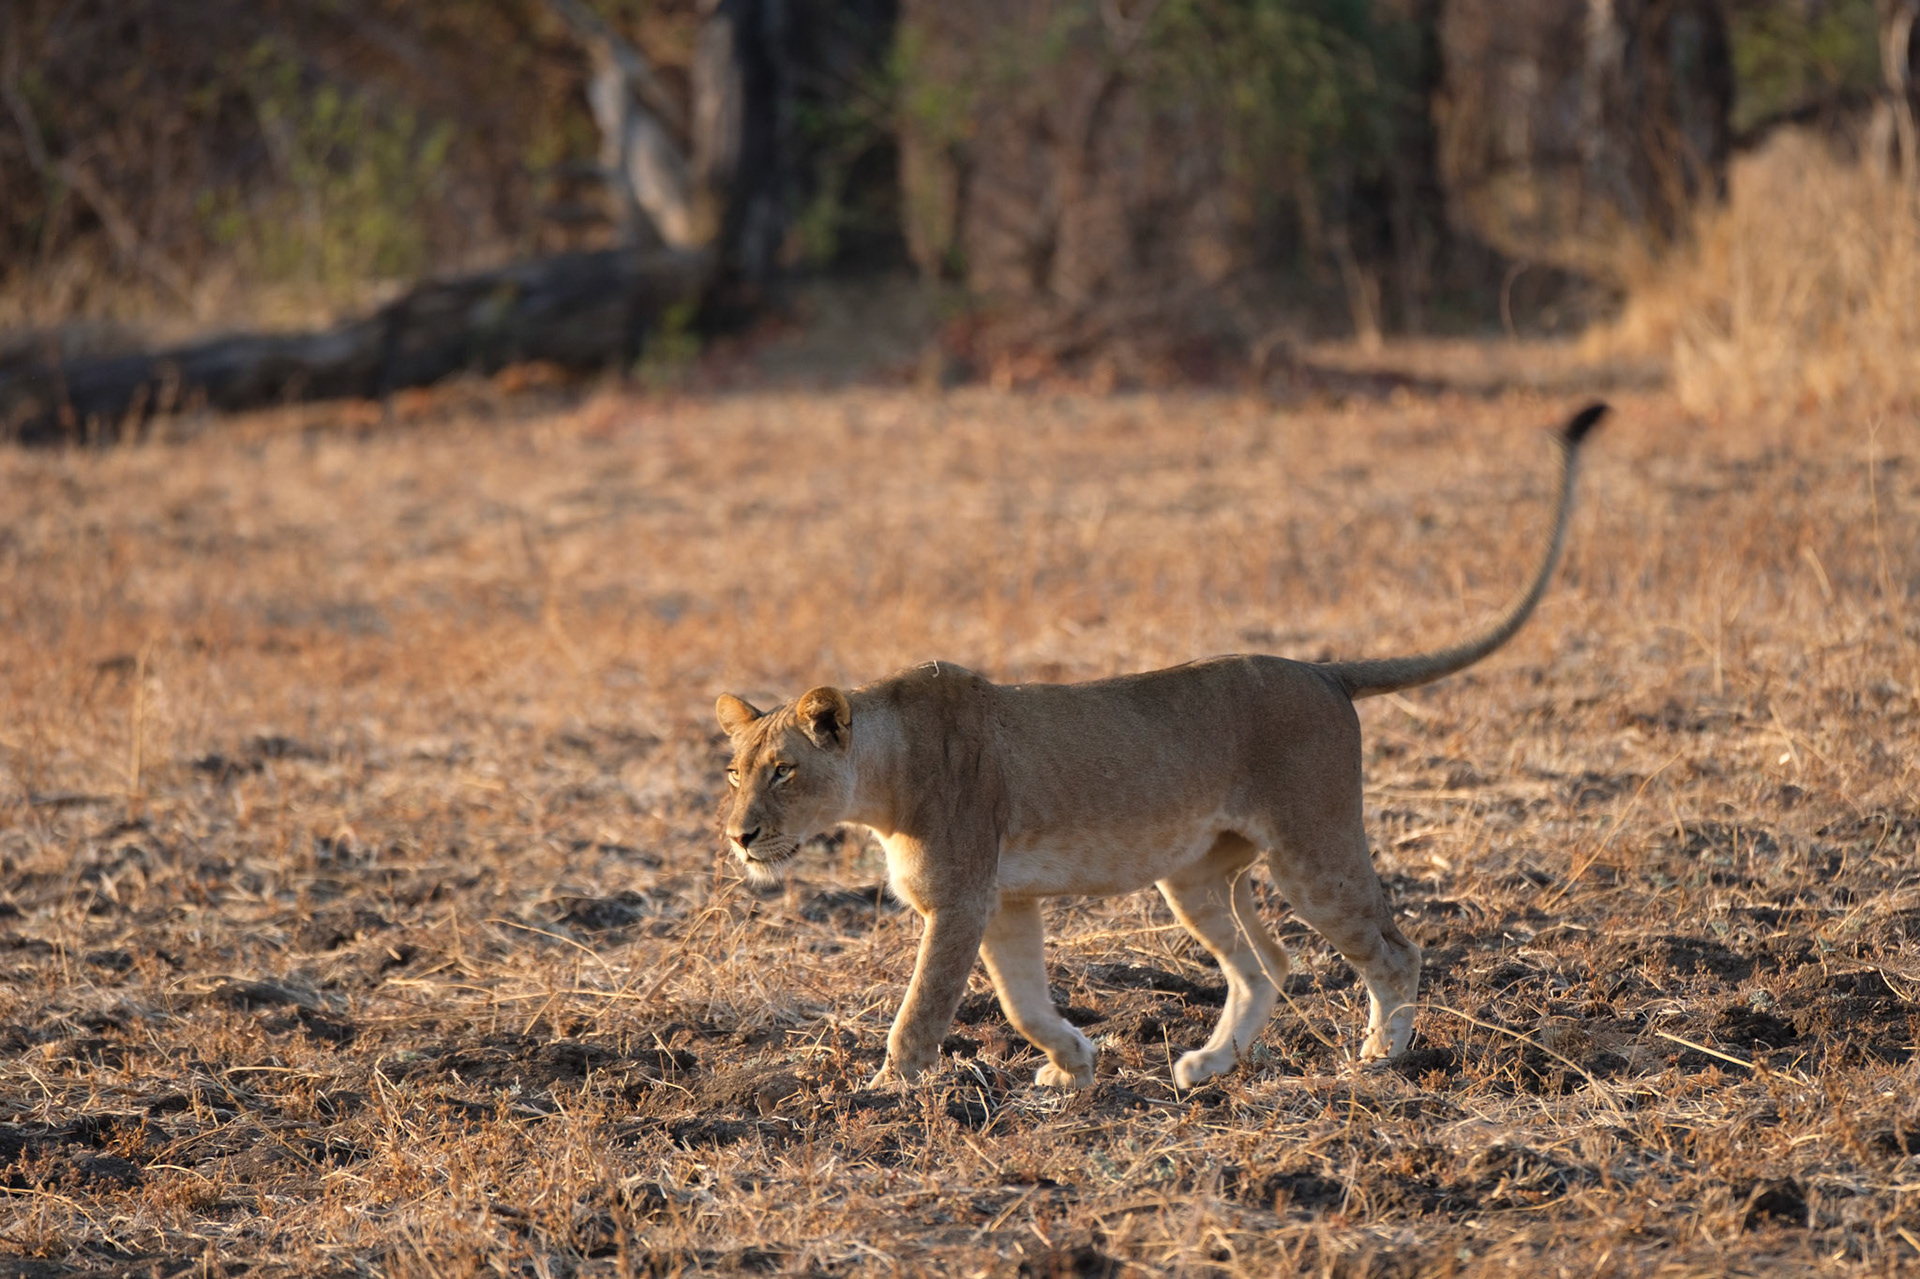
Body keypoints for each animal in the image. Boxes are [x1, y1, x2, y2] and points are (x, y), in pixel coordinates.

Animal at [715, 403, 1606, 1090]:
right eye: (733, 773)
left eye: (785, 770)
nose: (739, 835)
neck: (884, 777)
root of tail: (1322, 670)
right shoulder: (1005, 899)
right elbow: (1023, 1000)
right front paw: (1071, 1064)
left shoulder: (963, 895)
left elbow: (924, 1007)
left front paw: (886, 1088)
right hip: (1197, 873)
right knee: (1264, 966)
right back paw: (1206, 1067)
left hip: (1312, 849)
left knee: (1393, 950)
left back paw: (1379, 1058)